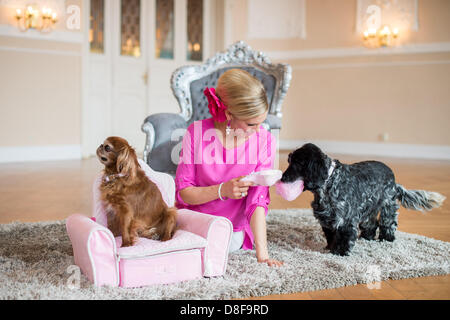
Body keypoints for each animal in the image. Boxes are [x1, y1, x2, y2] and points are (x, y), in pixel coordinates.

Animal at [284, 144, 444, 256]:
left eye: (297, 163)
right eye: (289, 161)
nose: (282, 177)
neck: (330, 182)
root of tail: (394, 179)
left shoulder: (346, 221)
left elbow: (344, 238)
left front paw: (339, 252)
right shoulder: (328, 220)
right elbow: (331, 236)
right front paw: (330, 248)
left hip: (388, 206)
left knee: (388, 224)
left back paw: (387, 239)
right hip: (369, 211)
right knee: (372, 225)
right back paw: (367, 238)